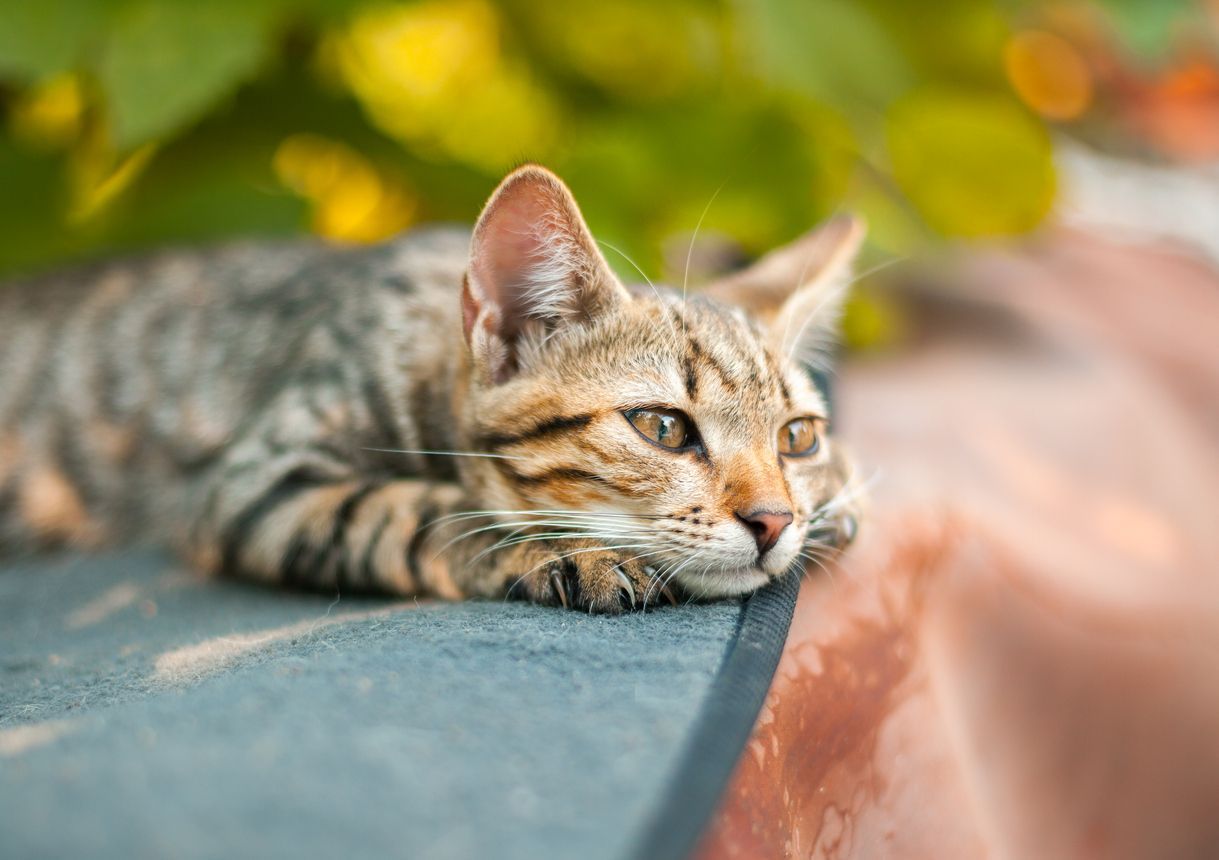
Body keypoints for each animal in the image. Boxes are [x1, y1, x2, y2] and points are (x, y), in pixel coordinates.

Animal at [0, 165, 858, 609]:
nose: (774, 521)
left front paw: (836, 502)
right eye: (663, 428)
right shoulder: (256, 479)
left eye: (796, 438)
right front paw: (562, 547)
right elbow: (414, 507)